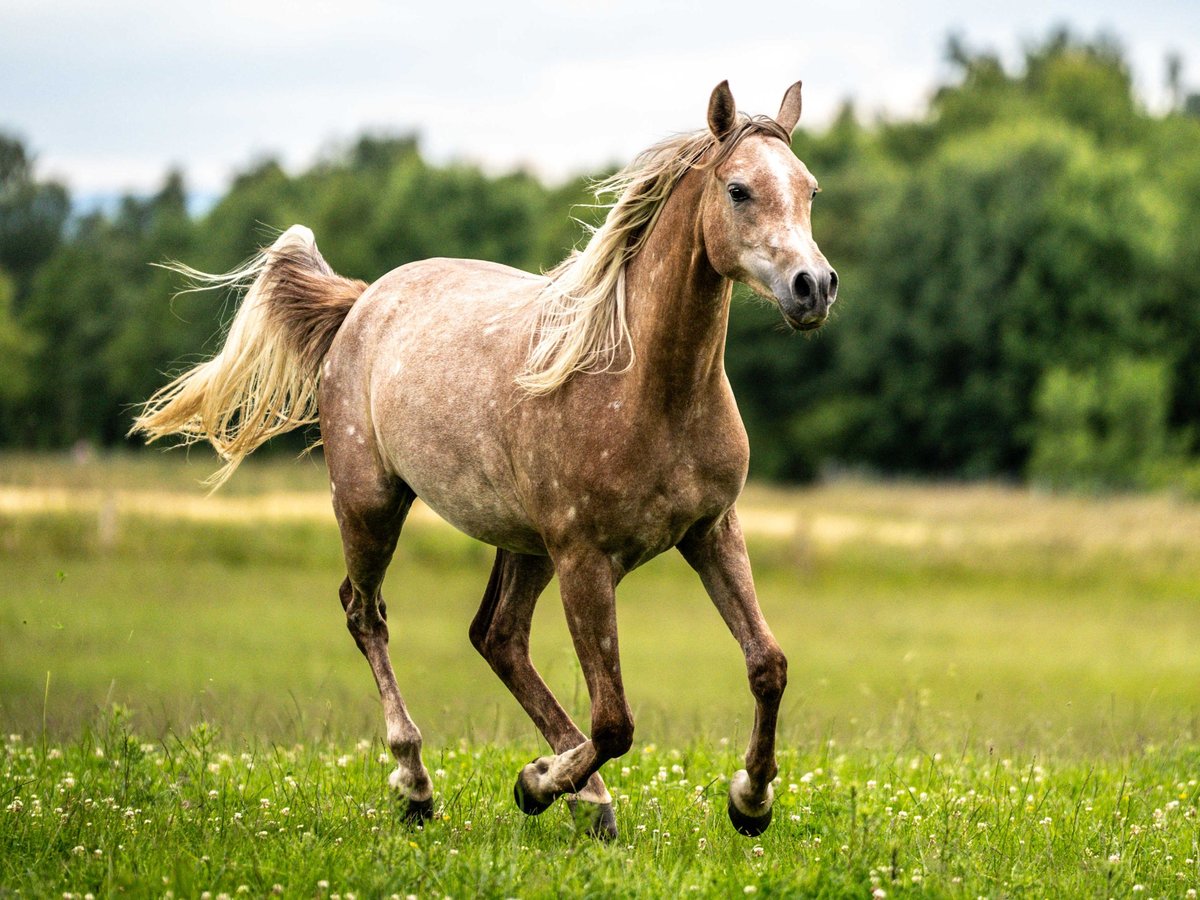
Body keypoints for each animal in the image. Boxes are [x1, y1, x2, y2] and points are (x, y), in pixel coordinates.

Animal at [133, 81, 835, 844]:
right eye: (739, 190)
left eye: (809, 189)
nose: (813, 286)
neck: (650, 385)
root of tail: (362, 301)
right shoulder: (584, 558)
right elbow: (615, 722)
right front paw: (534, 785)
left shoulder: (711, 530)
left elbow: (767, 665)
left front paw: (750, 800)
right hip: (372, 505)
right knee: (366, 614)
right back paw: (419, 784)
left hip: (523, 544)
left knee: (496, 637)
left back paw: (583, 798)